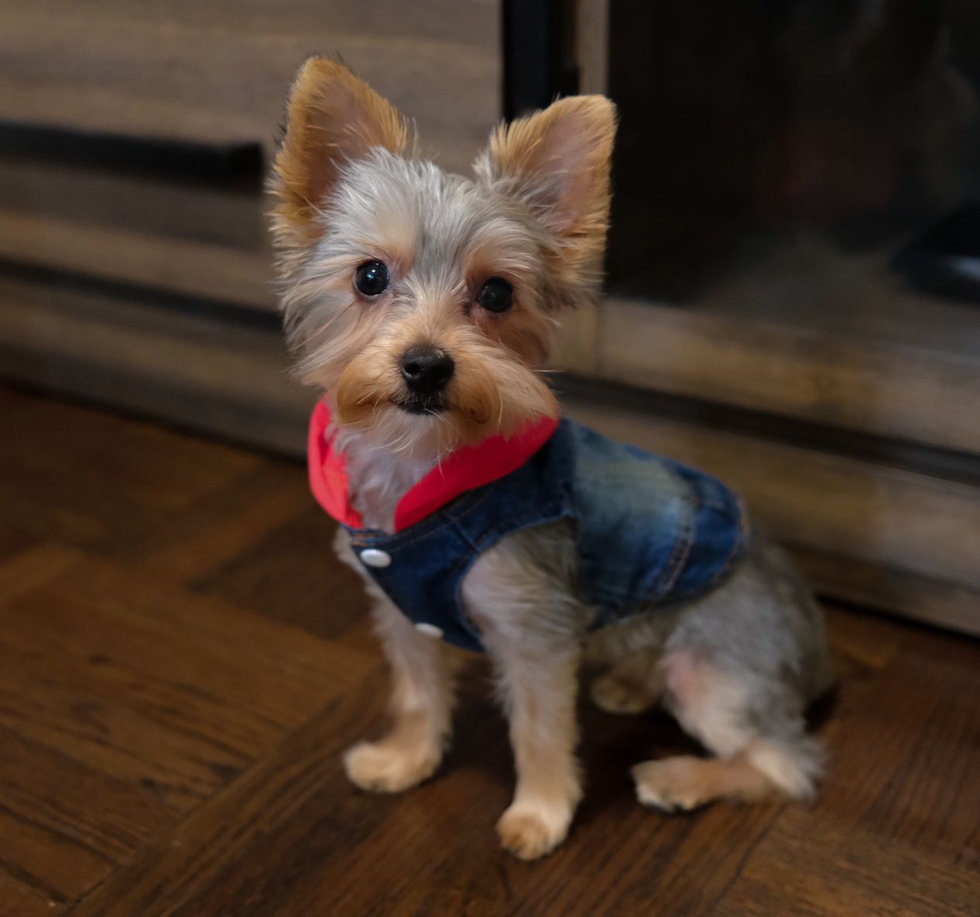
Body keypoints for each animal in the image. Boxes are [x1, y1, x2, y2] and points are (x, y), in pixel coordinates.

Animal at [270, 57, 836, 860]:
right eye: (369, 277)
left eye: (497, 292)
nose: (426, 366)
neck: (423, 464)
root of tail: (816, 644)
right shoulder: (402, 610)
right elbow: (416, 693)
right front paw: (405, 759)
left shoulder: (535, 631)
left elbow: (539, 730)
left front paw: (539, 815)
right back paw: (629, 684)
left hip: (717, 667)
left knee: (785, 762)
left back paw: (681, 777)